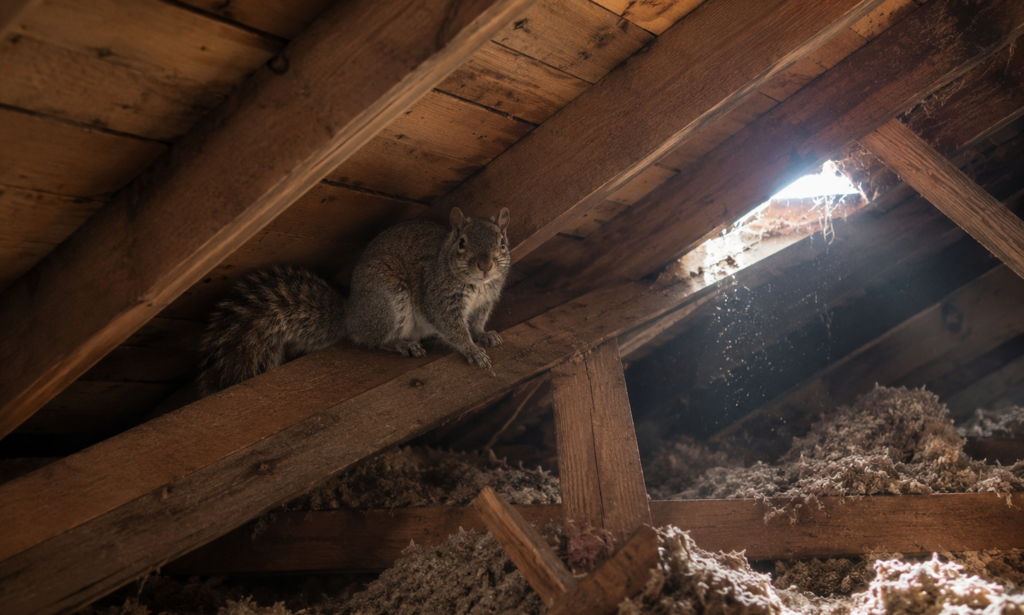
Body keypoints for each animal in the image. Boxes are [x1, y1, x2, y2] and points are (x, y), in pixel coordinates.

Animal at [197, 207, 511, 396]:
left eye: (503, 242)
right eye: (462, 243)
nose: (486, 266)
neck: (478, 284)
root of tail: (351, 315)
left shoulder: (486, 301)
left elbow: (477, 322)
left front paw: (484, 335)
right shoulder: (439, 298)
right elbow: (453, 329)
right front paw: (472, 350)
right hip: (389, 299)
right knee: (372, 339)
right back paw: (402, 344)